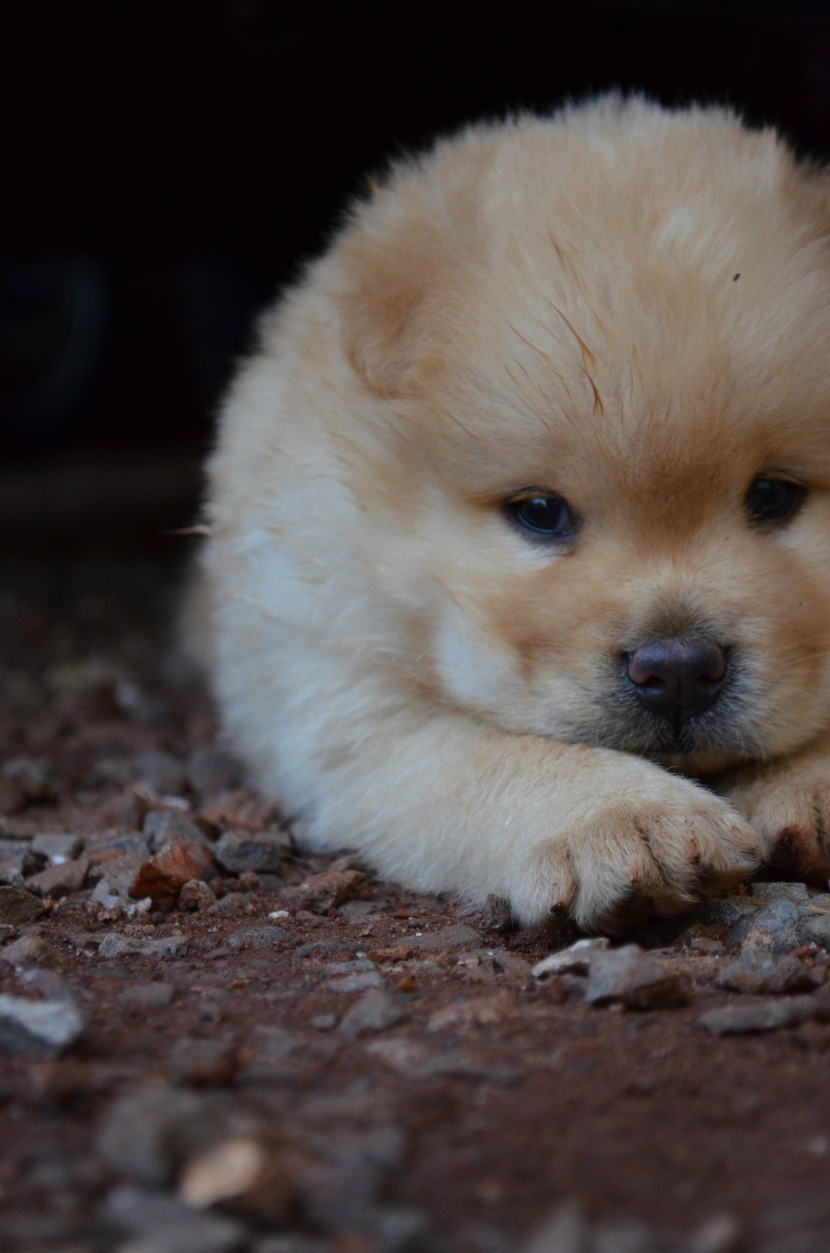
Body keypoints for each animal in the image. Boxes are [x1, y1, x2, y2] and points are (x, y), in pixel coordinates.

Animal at [191, 95, 830, 932]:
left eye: (774, 495)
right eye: (540, 513)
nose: (680, 668)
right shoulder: (345, 695)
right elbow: (495, 754)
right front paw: (628, 822)